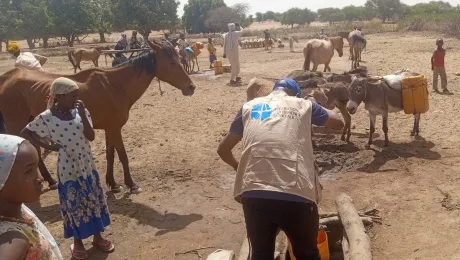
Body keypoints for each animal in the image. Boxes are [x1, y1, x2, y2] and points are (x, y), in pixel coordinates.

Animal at [0, 38, 196, 193]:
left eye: (179, 59)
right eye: (172, 63)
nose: (191, 87)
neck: (115, 86)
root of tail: (8, 77)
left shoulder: (110, 128)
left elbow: (111, 155)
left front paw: (113, 183)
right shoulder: (115, 128)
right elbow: (122, 155)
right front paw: (131, 184)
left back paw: (51, 180)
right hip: (16, 124)